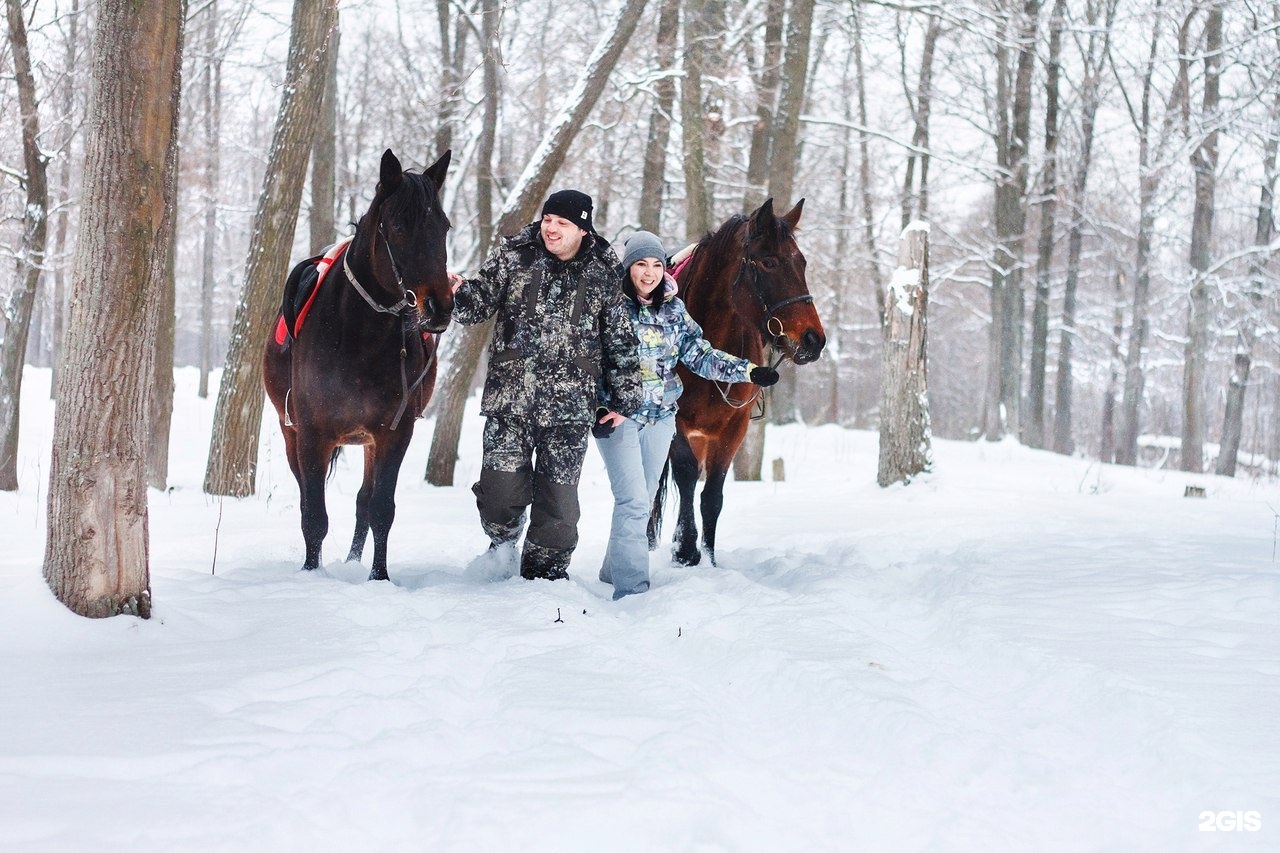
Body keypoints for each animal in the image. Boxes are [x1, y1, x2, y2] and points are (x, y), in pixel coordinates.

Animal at [262, 149, 453, 581]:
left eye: (445, 227)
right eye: (397, 226)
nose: (440, 307)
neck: (357, 339)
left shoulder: (393, 434)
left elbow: (380, 509)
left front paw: (378, 578)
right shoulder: (311, 435)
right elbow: (313, 514)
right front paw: (311, 574)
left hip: (368, 440)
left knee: (364, 501)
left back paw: (352, 561)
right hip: (291, 434)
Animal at [655, 197, 824, 563]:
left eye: (802, 262)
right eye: (769, 262)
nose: (813, 340)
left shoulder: (733, 429)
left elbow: (712, 495)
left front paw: (709, 558)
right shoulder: (673, 422)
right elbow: (686, 475)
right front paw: (685, 550)